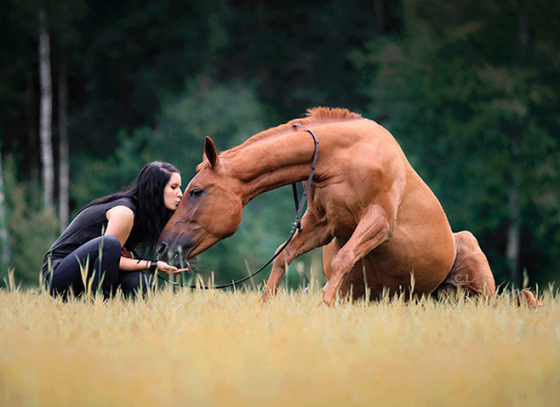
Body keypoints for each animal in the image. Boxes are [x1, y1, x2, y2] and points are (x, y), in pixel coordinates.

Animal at [158, 108, 532, 306]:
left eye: (195, 191)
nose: (163, 246)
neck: (337, 158)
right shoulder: (322, 225)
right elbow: (282, 256)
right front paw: (265, 306)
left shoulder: (378, 221)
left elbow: (343, 258)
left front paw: (323, 305)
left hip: (475, 272)